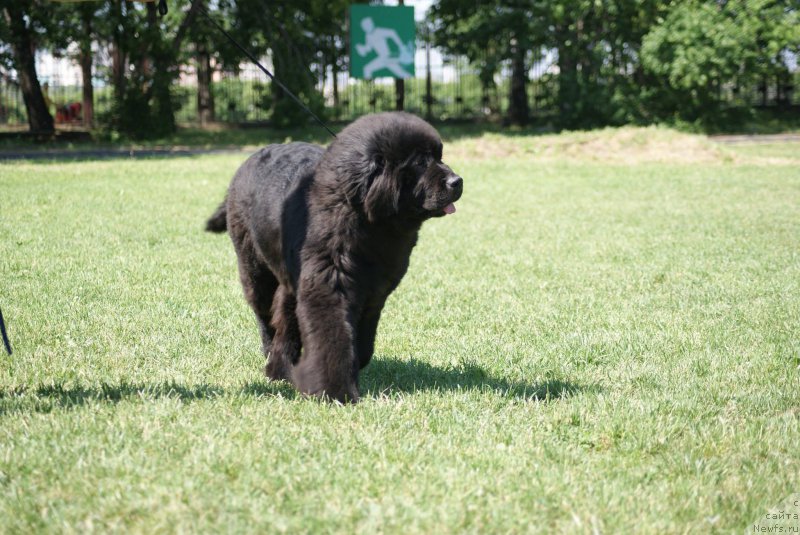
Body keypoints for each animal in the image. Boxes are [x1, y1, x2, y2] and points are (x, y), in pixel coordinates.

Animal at [206, 114, 462, 406]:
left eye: (439, 157)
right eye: (420, 162)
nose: (457, 181)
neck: (368, 221)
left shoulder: (374, 292)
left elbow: (363, 340)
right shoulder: (328, 285)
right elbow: (332, 336)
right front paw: (335, 390)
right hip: (255, 269)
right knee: (265, 315)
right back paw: (274, 362)